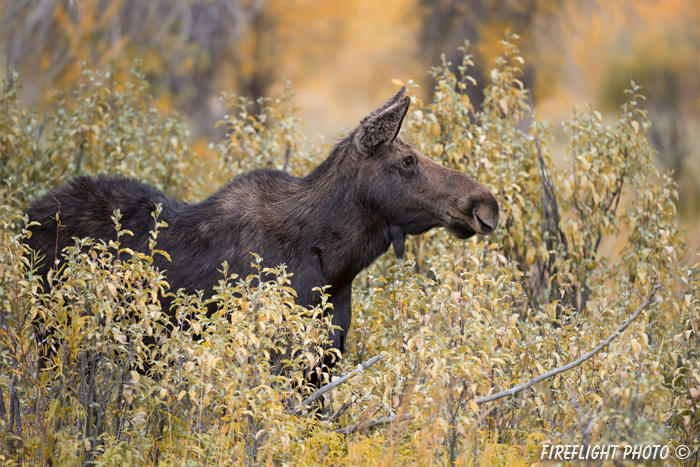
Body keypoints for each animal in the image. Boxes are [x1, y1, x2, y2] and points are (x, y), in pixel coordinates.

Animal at [26, 87, 498, 372]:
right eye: (407, 161)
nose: (485, 204)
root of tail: (28, 215)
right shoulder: (276, 356)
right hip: (54, 335)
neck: (335, 264)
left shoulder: (324, 359)